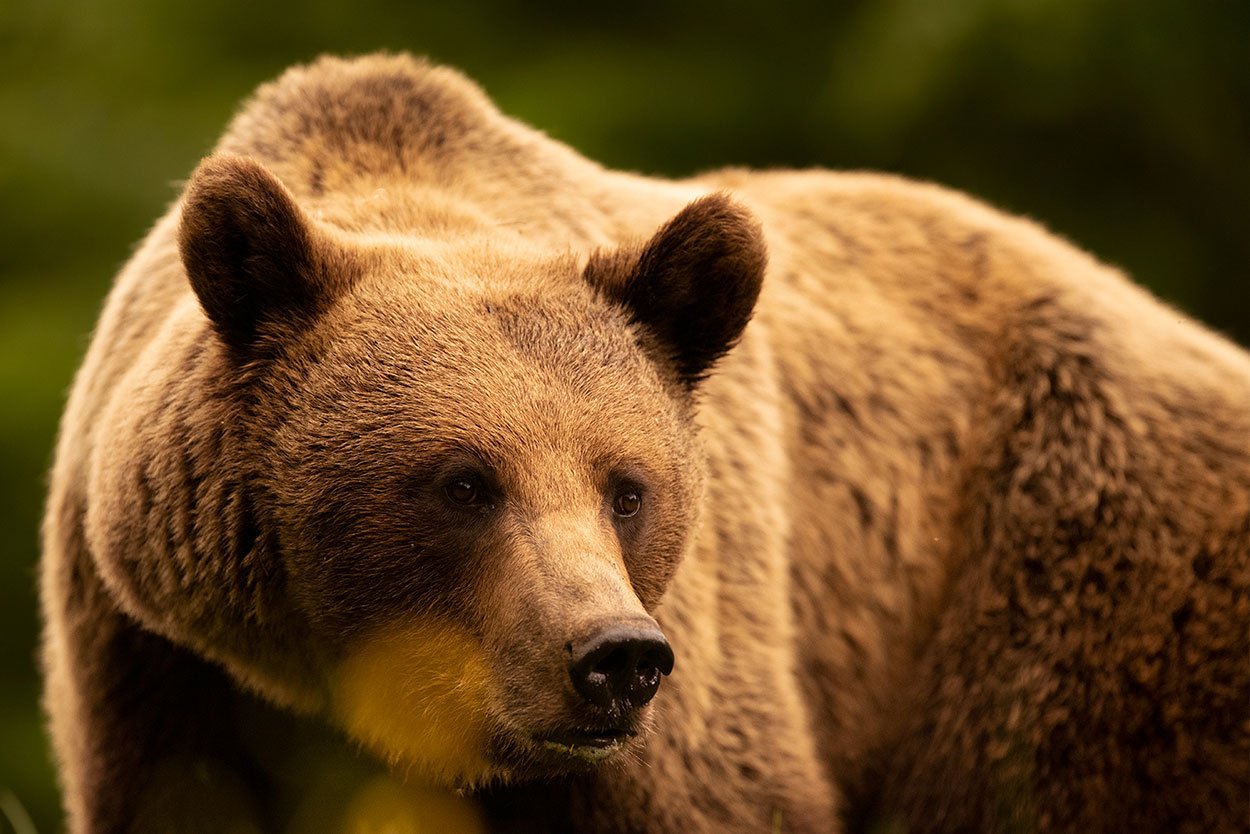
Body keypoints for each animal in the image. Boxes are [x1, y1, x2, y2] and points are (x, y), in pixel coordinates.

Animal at [41, 52, 1250, 834]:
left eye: (628, 487)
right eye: (462, 482)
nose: (612, 658)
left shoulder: (699, 679)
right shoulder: (163, 667)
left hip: (1070, 580)